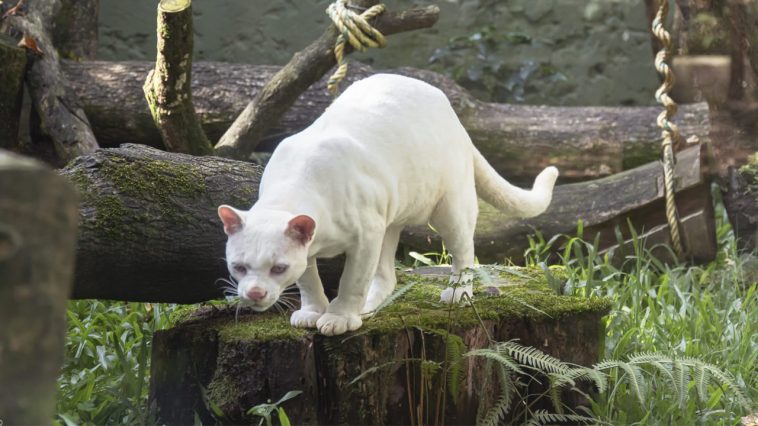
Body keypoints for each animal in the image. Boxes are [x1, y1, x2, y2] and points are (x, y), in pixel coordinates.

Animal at [220, 75, 560, 336]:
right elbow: (308, 280)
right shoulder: (335, 242)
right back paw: (370, 306)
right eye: (239, 267)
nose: (255, 293)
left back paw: (457, 292)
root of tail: (452, 114)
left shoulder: (365, 235)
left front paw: (339, 317)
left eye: (278, 268)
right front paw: (314, 311)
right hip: (390, 219)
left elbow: (352, 279)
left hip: (449, 208)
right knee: (387, 275)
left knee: (465, 253)